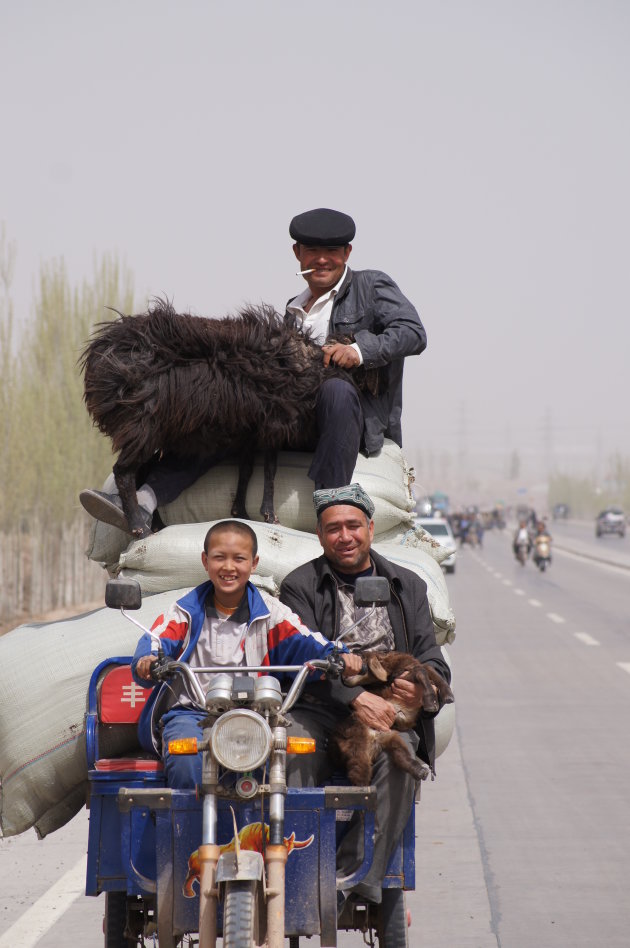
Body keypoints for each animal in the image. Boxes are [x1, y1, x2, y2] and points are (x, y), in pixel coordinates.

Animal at [80, 300, 360, 536]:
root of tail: (101, 354)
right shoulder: (273, 423)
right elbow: (270, 469)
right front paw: (269, 515)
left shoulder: (249, 429)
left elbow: (246, 469)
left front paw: (241, 512)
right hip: (143, 424)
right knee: (124, 472)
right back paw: (139, 527)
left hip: (154, 431)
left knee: (141, 471)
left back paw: (147, 522)